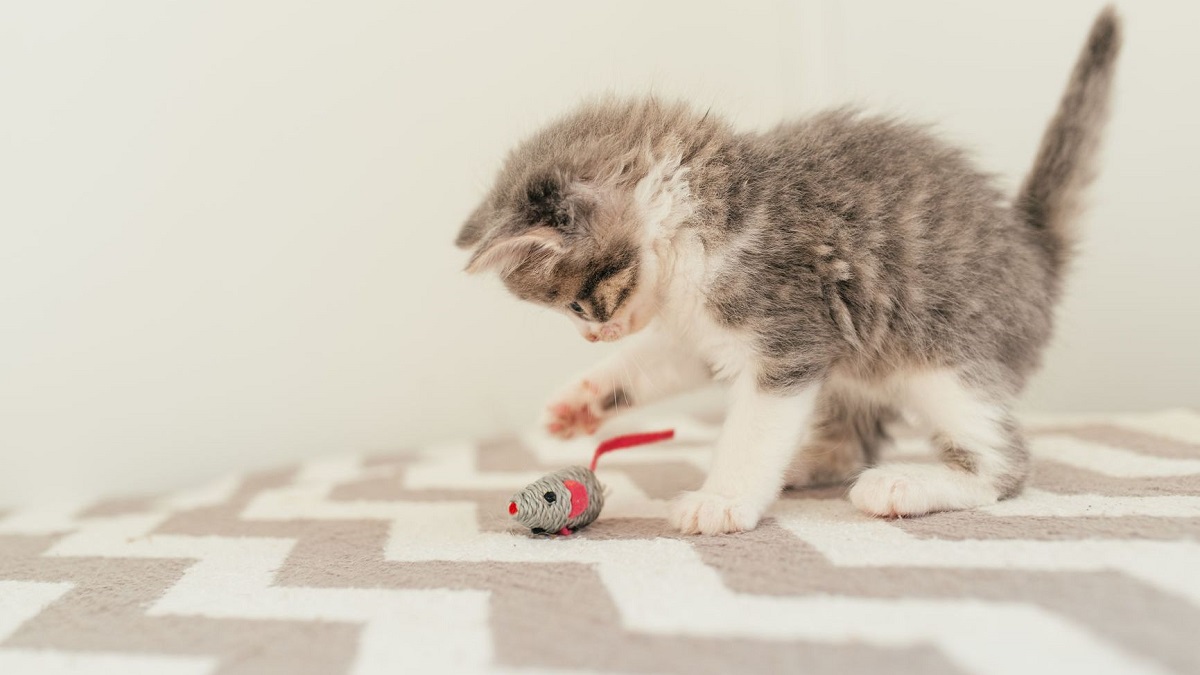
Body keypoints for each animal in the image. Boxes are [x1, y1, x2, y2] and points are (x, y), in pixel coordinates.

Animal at [453, 6, 1118, 530]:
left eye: (576, 304)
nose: (593, 337)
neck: (705, 217)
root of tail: (1033, 250)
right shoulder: (703, 334)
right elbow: (659, 362)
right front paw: (580, 400)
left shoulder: (788, 330)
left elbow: (755, 427)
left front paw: (722, 499)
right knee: (853, 439)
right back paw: (807, 463)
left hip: (943, 357)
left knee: (1005, 463)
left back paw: (902, 482)